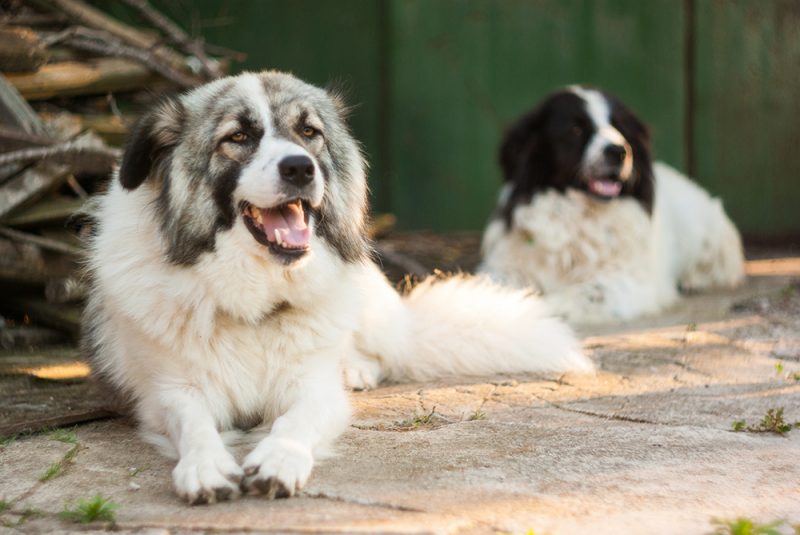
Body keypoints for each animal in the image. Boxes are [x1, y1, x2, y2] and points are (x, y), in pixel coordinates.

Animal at [478, 87, 748, 322]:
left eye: (620, 128)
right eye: (576, 129)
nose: (618, 151)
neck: (577, 216)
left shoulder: (629, 282)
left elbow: (578, 294)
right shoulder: (504, 266)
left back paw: (693, 281)